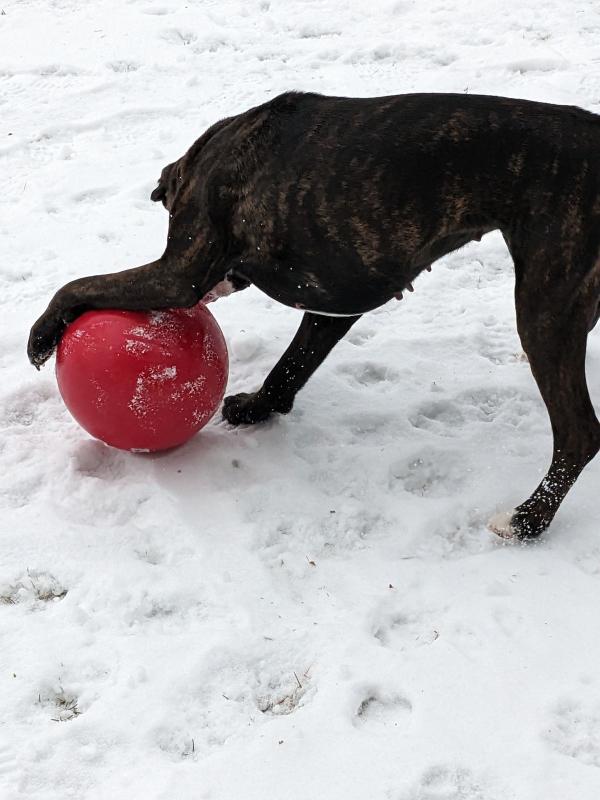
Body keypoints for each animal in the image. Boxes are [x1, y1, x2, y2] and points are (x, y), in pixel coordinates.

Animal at [27, 92, 600, 536]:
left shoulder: (178, 274)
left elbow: (82, 284)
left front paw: (41, 334)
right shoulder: (333, 299)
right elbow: (292, 365)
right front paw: (259, 407)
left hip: (544, 311)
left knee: (578, 433)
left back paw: (527, 521)